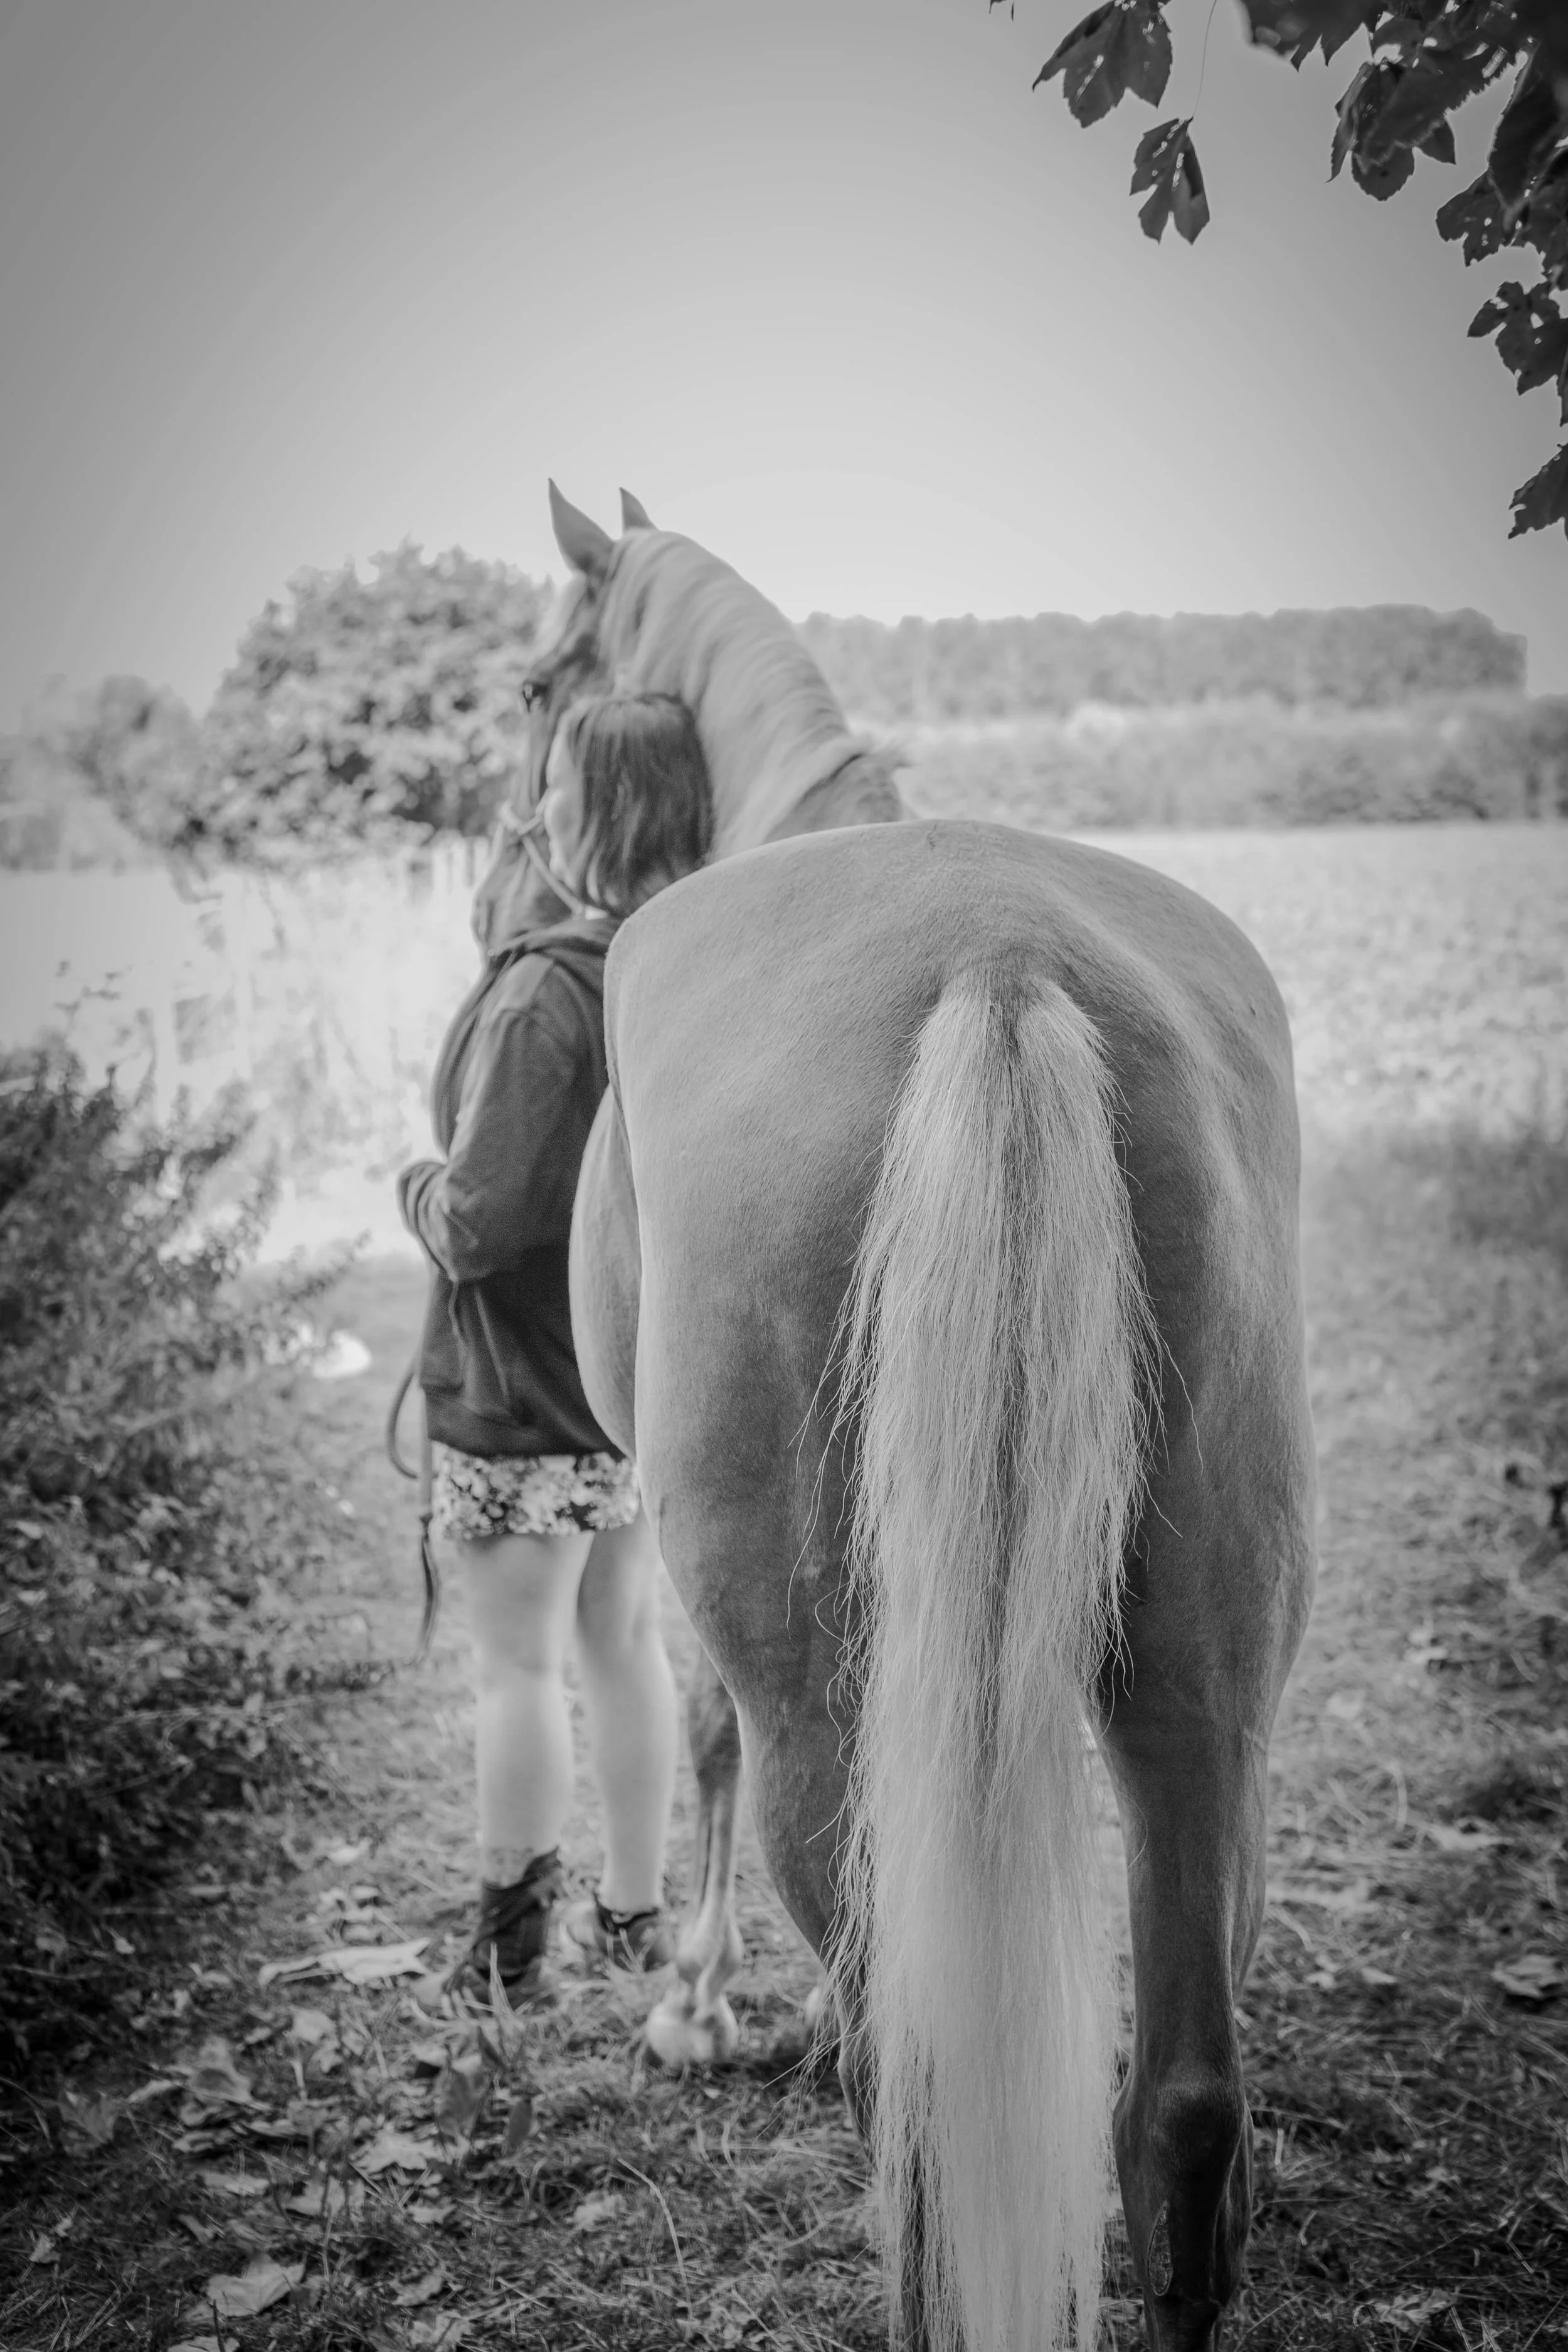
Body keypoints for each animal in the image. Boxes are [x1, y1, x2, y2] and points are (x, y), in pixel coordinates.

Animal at [515, 483, 1316, 2352]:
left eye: (538, 686)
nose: (534, 851)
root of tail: (999, 956)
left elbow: (699, 1730)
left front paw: (699, 2004)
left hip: (836, 1695)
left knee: (924, 2116)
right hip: (1206, 1676)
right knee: (1181, 2105)